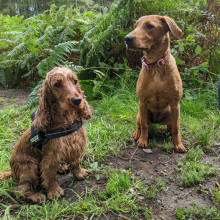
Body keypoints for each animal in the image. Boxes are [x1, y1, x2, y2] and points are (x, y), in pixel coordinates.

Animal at [0, 67, 93, 203]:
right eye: (57, 84)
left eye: (75, 81)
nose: (77, 100)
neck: (67, 119)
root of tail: (12, 171)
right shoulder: (51, 155)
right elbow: (49, 174)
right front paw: (54, 192)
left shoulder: (77, 144)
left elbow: (76, 162)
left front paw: (79, 173)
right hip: (30, 168)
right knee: (19, 190)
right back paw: (36, 196)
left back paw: (62, 167)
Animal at [125, 14, 186, 152]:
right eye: (135, 26)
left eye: (149, 26)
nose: (127, 38)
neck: (155, 66)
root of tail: (157, 120)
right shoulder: (142, 101)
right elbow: (144, 126)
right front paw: (143, 140)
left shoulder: (175, 103)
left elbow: (176, 128)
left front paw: (178, 144)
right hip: (140, 113)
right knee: (140, 125)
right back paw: (137, 134)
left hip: (172, 113)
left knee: (172, 127)